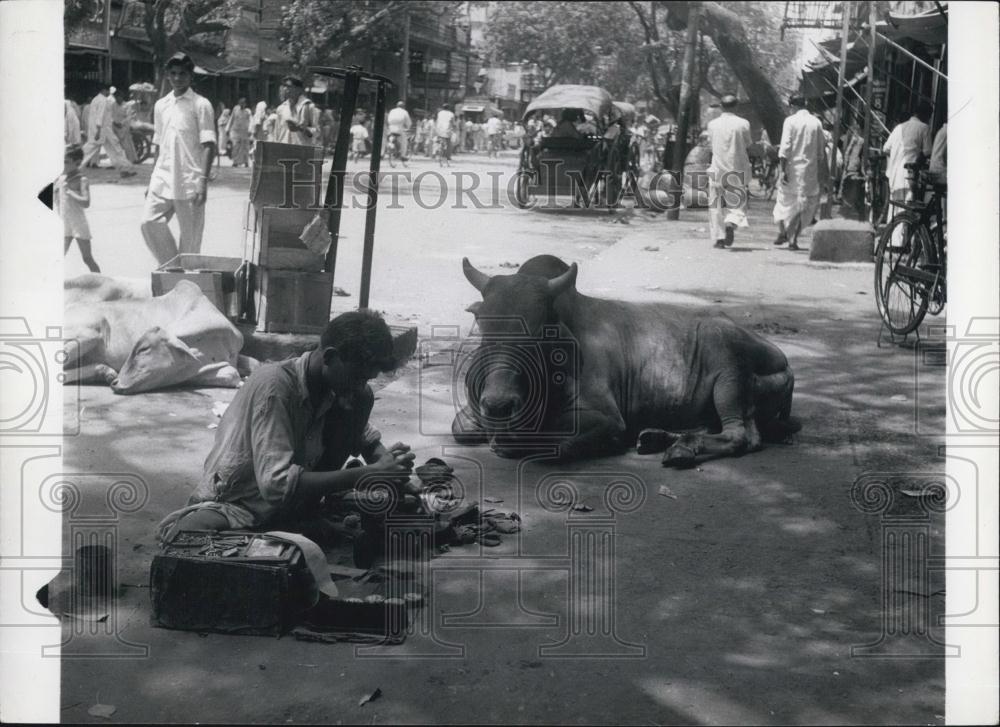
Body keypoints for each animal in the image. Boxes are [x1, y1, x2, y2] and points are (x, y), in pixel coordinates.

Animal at [454, 256, 796, 466]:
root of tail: (786, 365)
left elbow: (555, 444)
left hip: (728, 368)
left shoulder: (606, 419)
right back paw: (657, 438)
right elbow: (462, 429)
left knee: (739, 435)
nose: (498, 405)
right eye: (482, 325)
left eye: (541, 332)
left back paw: (680, 449)